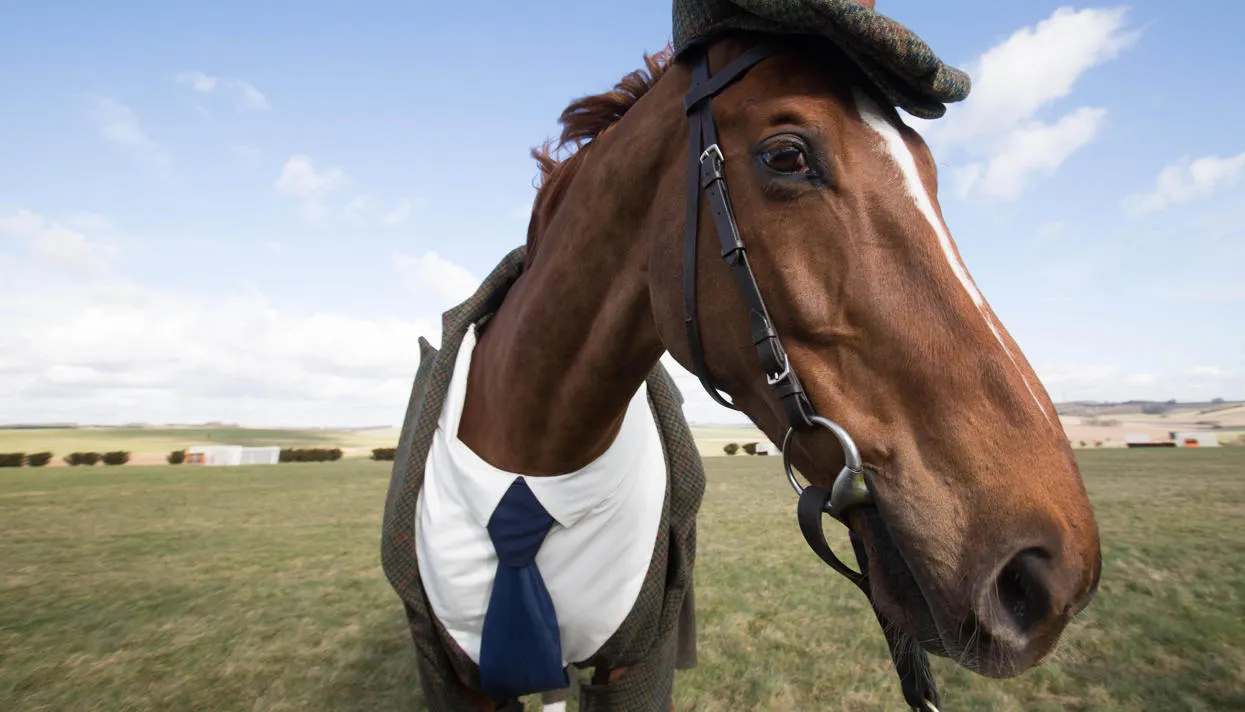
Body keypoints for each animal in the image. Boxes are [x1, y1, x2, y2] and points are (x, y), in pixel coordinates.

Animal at [388, 25, 1100, 707]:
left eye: (928, 172)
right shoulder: (460, 680)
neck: (535, 466)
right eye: (787, 155)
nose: (1052, 572)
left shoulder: (636, 664)